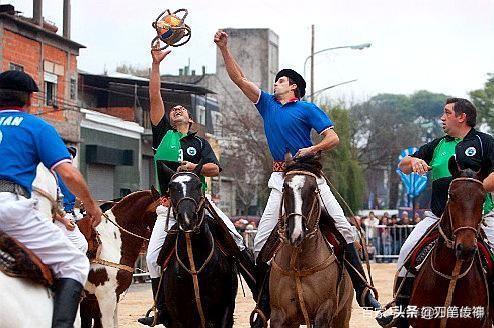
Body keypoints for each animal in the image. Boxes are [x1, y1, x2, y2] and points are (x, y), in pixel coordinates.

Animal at [268, 156, 354, 328]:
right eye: (285, 187)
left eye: (314, 188)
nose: (296, 233)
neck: (298, 264)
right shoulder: (279, 314)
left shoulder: (325, 310)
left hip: (343, 314)